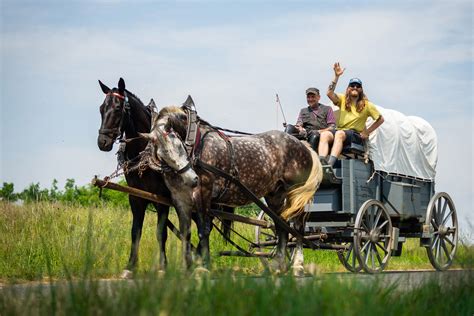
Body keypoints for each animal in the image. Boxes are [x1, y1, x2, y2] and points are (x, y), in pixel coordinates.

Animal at [141, 100, 322, 272]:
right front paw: (187, 267)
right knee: (281, 226)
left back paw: (298, 264)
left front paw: (203, 266)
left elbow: (203, 230)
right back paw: (279, 264)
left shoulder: (203, 193)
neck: (197, 146)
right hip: (275, 195)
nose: (192, 179)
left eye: (179, 145)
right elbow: (186, 232)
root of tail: (304, 146)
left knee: (297, 226)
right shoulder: (180, 198)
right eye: (161, 153)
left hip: (296, 194)